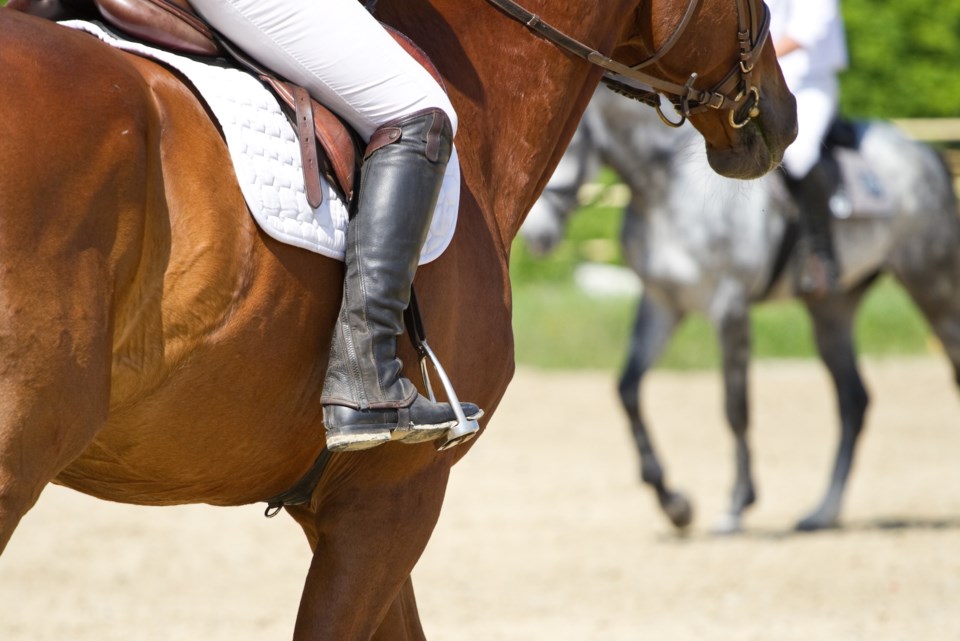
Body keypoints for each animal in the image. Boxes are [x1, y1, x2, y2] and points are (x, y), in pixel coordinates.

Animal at [524, 89, 960, 528]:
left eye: (559, 144)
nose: (535, 238)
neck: (669, 186)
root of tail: (925, 154)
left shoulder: (728, 306)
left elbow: (735, 407)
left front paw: (736, 504)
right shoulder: (662, 302)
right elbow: (628, 390)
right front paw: (673, 503)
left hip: (932, 284)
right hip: (832, 311)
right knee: (853, 400)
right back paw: (822, 512)